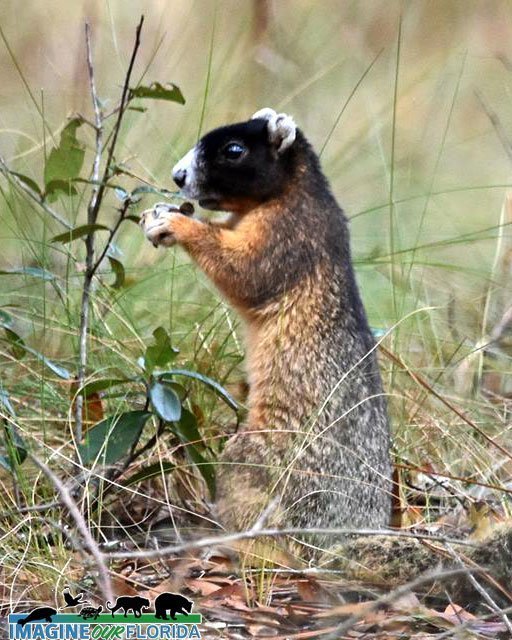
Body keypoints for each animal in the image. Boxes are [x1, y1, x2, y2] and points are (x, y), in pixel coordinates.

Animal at [140, 106, 392, 556]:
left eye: (234, 150)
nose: (177, 176)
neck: (288, 193)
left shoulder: (287, 231)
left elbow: (247, 267)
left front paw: (175, 222)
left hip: (251, 457)